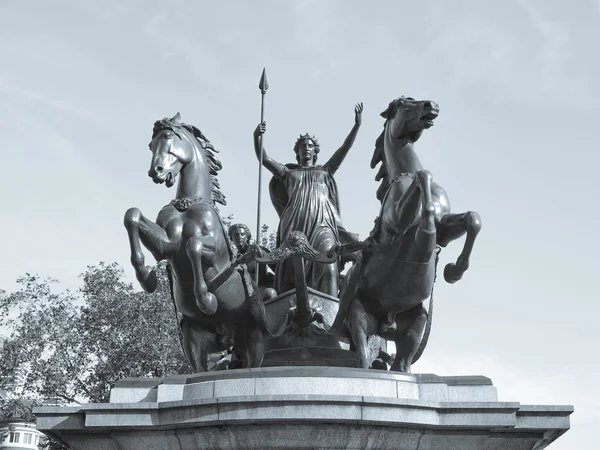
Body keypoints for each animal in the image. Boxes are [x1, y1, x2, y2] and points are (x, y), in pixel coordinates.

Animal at [123, 113, 268, 372]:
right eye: (150, 145)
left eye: (167, 136)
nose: (156, 171)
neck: (188, 203)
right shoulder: (167, 246)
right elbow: (132, 215)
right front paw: (147, 277)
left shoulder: (216, 252)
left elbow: (194, 247)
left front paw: (207, 300)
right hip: (194, 339)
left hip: (255, 338)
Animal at [336, 97, 480, 372]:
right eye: (404, 104)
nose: (431, 105)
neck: (405, 173)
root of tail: (387, 322)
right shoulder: (398, 222)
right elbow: (425, 178)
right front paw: (427, 235)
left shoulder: (446, 228)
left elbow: (472, 219)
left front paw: (453, 271)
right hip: (358, 318)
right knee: (363, 358)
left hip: (415, 325)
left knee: (402, 365)